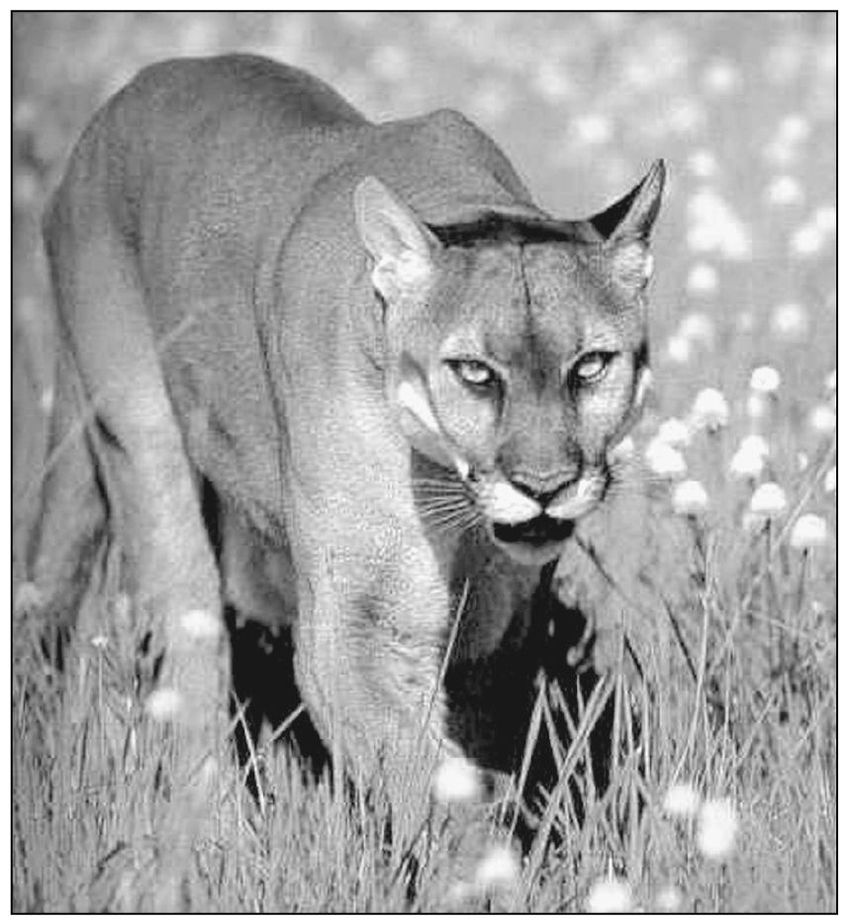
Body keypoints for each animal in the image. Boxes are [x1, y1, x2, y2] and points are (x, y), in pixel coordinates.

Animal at [26, 55, 664, 820]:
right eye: (475, 372)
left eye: (590, 365)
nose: (545, 486)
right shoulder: (353, 625)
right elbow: (427, 778)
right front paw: (482, 853)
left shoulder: (493, 623)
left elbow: (475, 754)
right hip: (142, 444)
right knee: (189, 642)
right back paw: (213, 827)